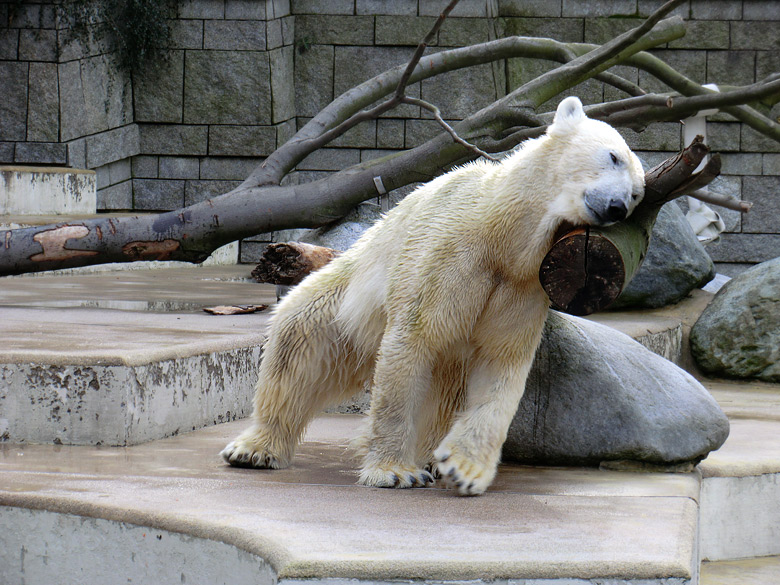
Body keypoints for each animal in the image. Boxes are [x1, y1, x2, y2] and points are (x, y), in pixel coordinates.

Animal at [221, 96, 644, 492]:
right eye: (612, 156)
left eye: (639, 194)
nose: (618, 206)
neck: (501, 235)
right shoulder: (448, 254)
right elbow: (413, 338)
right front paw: (393, 471)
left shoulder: (526, 286)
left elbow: (501, 366)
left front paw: (464, 468)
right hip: (346, 301)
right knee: (299, 343)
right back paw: (255, 449)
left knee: (445, 393)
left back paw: (428, 457)